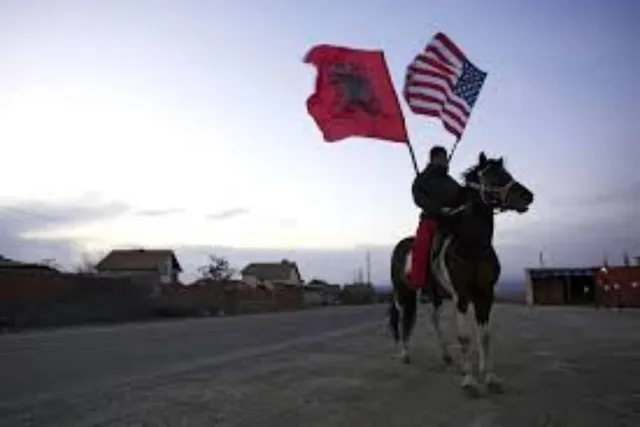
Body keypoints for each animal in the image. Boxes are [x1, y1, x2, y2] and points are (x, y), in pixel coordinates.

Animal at [390, 151, 536, 398]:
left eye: (506, 172)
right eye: (490, 175)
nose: (527, 196)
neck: (472, 245)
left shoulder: (485, 294)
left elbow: (485, 336)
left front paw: (490, 376)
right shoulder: (462, 295)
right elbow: (465, 337)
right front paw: (469, 381)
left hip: (436, 296)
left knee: (434, 319)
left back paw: (446, 356)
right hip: (403, 294)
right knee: (402, 320)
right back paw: (404, 354)